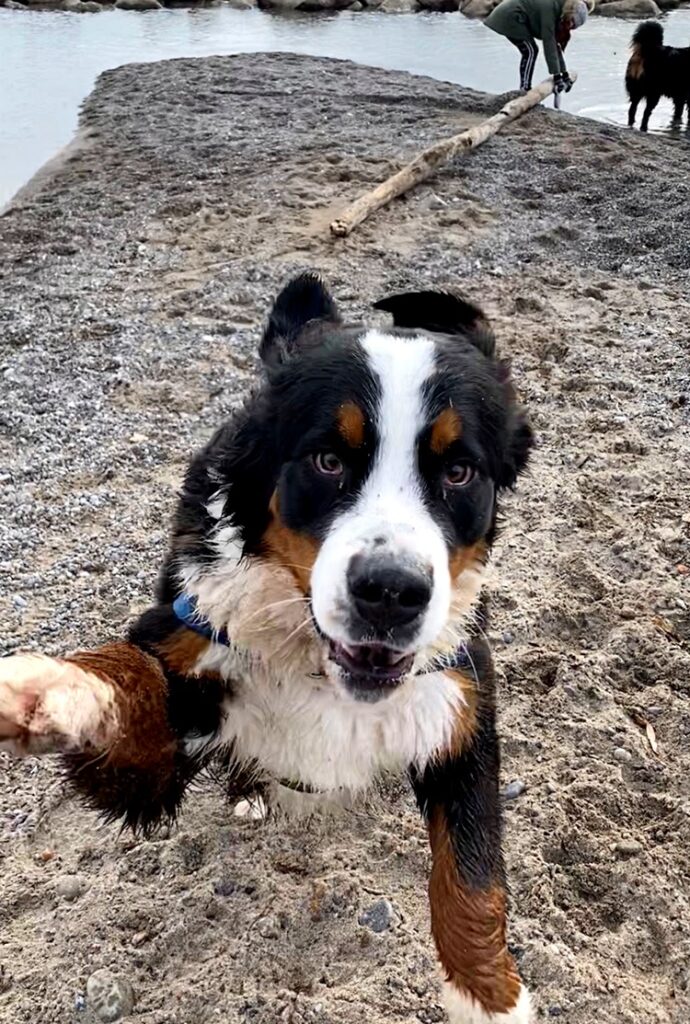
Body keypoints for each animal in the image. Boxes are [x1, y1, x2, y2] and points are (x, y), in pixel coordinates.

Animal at [0, 274, 532, 1024]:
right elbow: (127, 681)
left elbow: (473, 875)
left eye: (458, 472)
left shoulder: (461, 702)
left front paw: (491, 996)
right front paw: (50, 689)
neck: (320, 666)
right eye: (328, 460)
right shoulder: (165, 718)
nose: (391, 591)